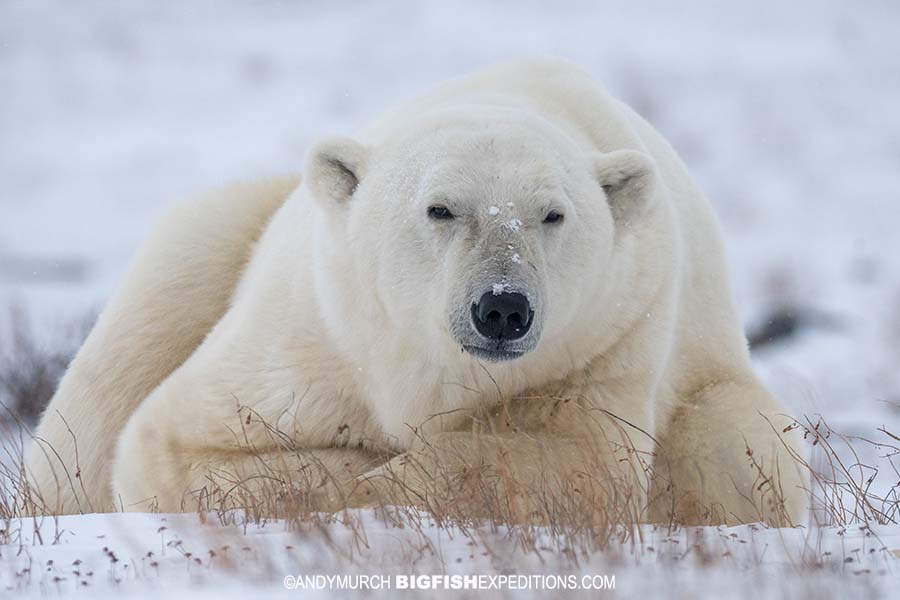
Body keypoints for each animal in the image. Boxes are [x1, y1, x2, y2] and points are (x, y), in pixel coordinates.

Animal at [26, 58, 800, 524]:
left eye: (553, 215)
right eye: (441, 208)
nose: (502, 308)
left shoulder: (608, 337)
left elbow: (576, 462)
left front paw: (383, 477)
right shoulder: (317, 336)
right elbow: (174, 441)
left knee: (740, 447)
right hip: (212, 240)